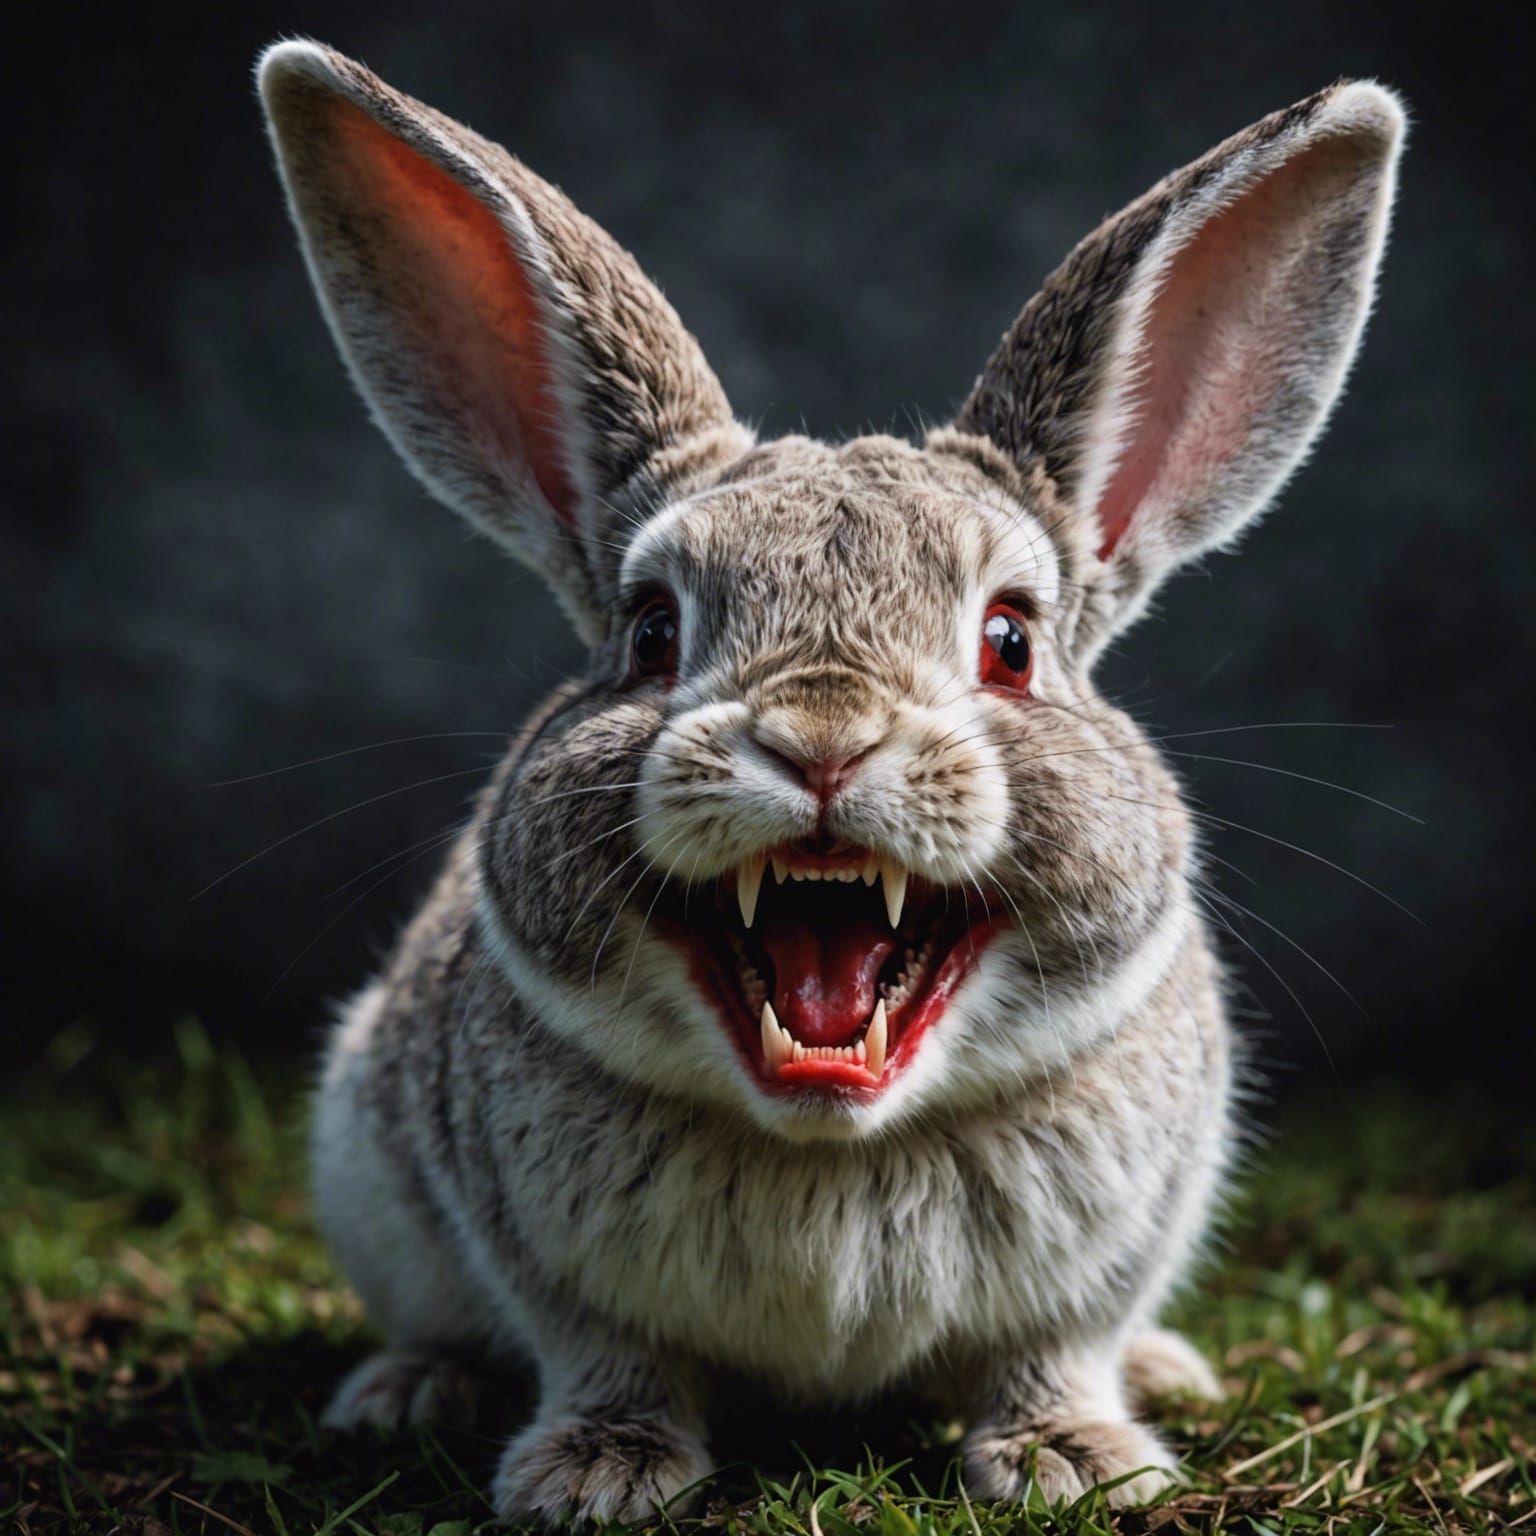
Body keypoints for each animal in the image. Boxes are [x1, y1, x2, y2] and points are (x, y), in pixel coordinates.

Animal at [257, 40, 1404, 1524]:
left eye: (1009, 641)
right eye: (652, 633)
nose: (821, 741)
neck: (835, 1140)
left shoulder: (1102, 1260)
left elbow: (1053, 1352)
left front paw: (1076, 1463)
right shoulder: (558, 1275)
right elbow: (610, 1359)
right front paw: (594, 1476)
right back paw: (406, 1391)